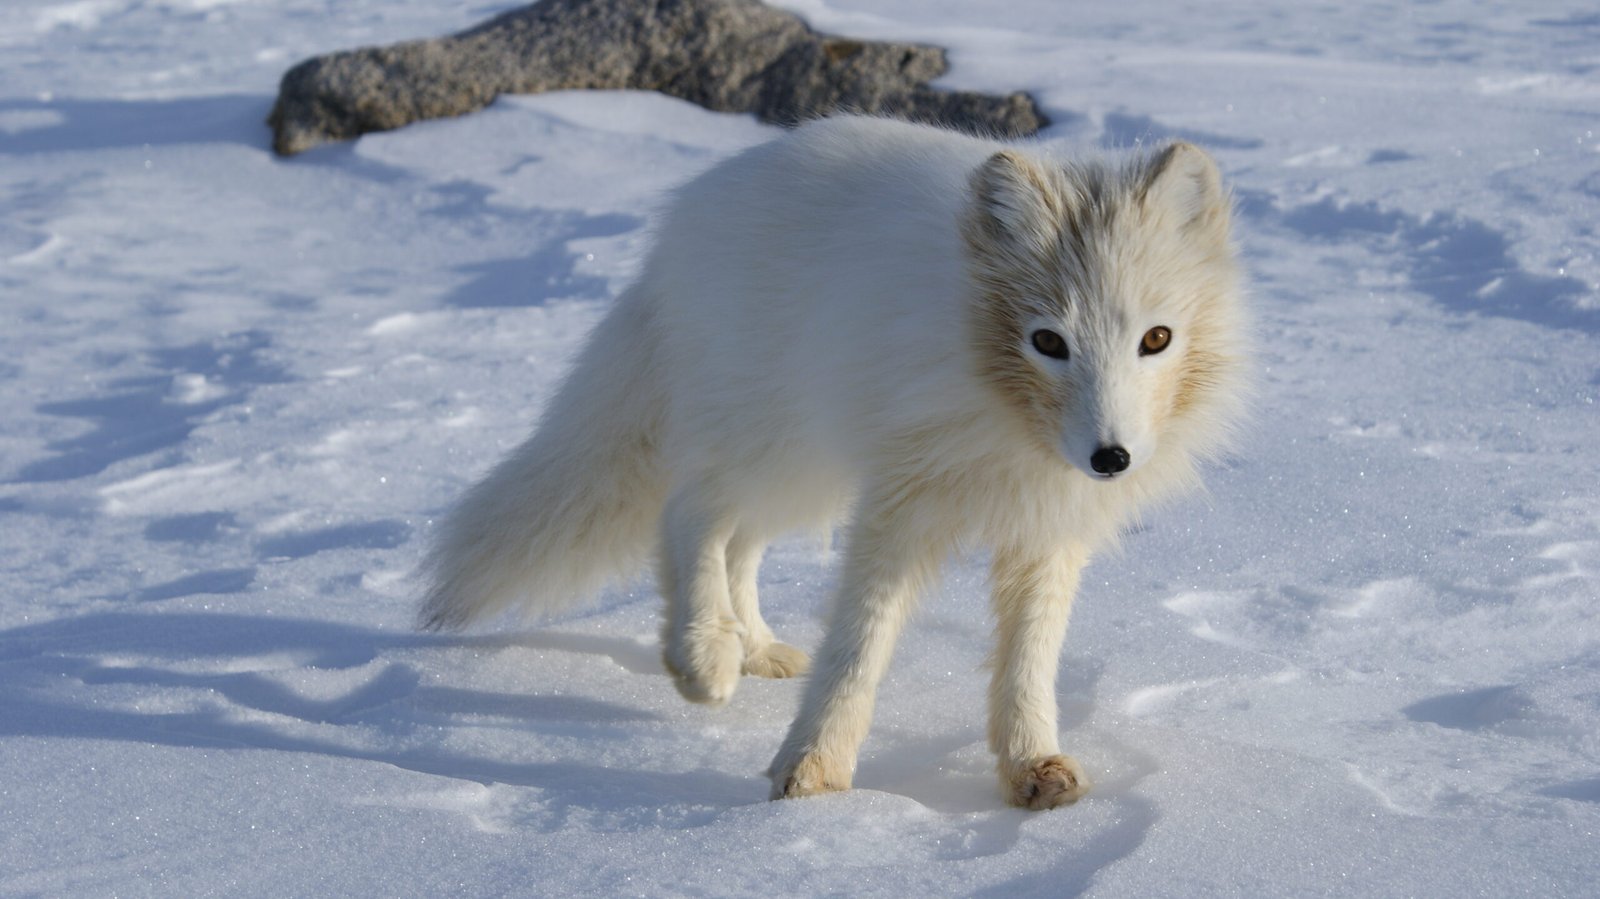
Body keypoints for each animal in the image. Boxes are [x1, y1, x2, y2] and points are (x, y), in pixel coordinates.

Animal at [419, 115, 1247, 809]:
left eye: (1156, 339)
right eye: (1048, 340)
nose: (1111, 457)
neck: (1008, 421)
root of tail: (688, 213)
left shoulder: (1047, 528)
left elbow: (1030, 660)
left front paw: (1031, 765)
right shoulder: (899, 507)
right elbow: (858, 644)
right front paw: (813, 769)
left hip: (807, 472)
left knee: (739, 542)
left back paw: (753, 646)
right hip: (778, 443)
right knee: (692, 511)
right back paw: (703, 655)